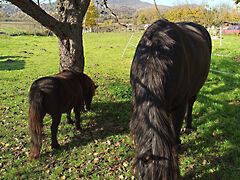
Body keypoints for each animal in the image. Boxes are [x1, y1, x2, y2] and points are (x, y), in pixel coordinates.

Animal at [130, 19, 211, 179]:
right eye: (142, 176)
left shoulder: (178, 106)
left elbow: (175, 130)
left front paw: (177, 144)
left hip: (195, 88)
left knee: (191, 103)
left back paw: (188, 126)